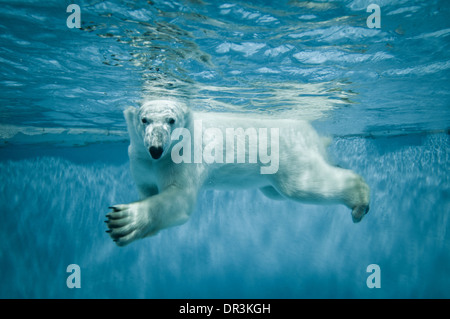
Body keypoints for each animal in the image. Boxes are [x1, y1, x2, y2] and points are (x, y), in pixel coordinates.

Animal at [105, 100, 370, 248]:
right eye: (144, 119)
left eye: (171, 120)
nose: (156, 148)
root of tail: (310, 132)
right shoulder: (139, 161)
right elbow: (147, 189)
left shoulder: (183, 156)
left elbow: (180, 198)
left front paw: (124, 220)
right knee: (276, 191)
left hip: (286, 154)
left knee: (300, 186)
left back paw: (359, 199)